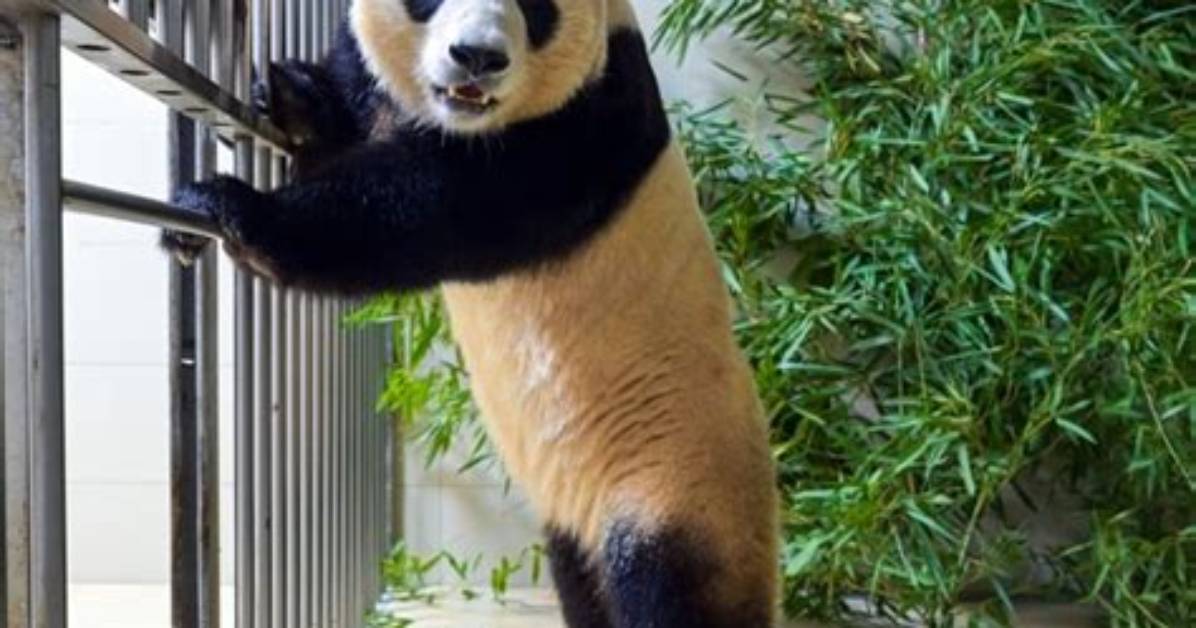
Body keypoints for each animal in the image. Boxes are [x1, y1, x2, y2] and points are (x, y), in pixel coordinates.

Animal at [173, 1, 780, 625]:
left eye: (537, 9)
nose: (477, 58)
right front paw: (290, 93)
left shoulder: (585, 125)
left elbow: (424, 211)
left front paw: (230, 207)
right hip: (583, 516)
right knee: (584, 582)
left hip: (676, 481)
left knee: (669, 589)